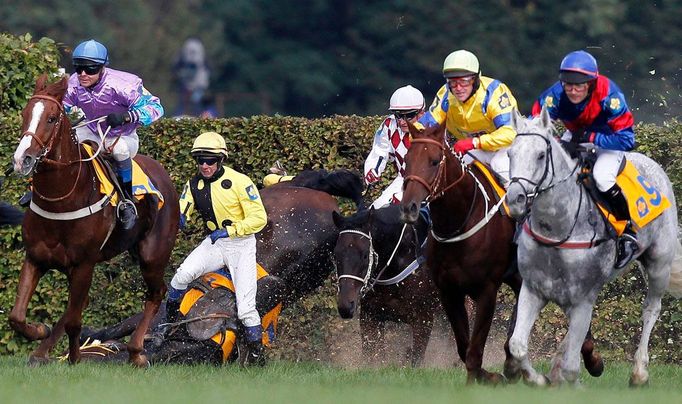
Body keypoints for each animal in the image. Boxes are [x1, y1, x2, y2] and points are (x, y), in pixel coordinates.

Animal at [10, 75, 179, 366]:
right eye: (25, 114)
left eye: (52, 118)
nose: (22, 160)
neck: (62, 200)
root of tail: (162, 173)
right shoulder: (35, 257)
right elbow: (17, 317)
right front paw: (40, 331)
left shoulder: (84, 263)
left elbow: (74, 321)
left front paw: (76, 358)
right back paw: (42, 351)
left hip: (152, 255)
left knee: (157, 293)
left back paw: (136, 352)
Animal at [332, 205, 438, 366]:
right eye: (336, 255)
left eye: (365, 255)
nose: (345, 306)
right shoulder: (370, 317)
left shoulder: (423, 319)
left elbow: (416, 359)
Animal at [502, 107, 680, 386]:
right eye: (510, 153)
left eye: (541, 155)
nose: (515, 199)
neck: (558, 230)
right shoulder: (534, 289)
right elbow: (518, 345)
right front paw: (538, 379)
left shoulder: (582, 297)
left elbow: (572, 367)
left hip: (659, 263)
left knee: (651, 309)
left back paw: (639, 373)